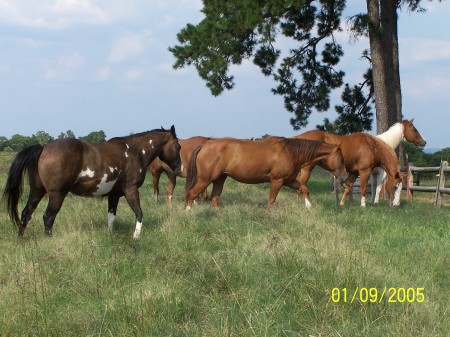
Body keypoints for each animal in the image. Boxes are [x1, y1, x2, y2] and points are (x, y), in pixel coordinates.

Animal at [2, 124, 181, 238]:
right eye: (178, 146)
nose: (179, 168)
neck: (135, 152)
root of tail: (44, 146)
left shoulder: (114, 195)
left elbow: (111, 217)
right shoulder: (131, 189)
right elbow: (139, 213)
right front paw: (136, 237)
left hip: (37, 191)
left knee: (26, 213)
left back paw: (21, 239)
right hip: (56, 194)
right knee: (48, 217)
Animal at [185, 136, 346, 209]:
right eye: (341, 158)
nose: (344, 178)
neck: (289, 152)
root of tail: (205, 145)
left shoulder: (288, 180)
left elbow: (304, 188)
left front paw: (308, 206)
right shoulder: (277, 180)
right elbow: (271, 200)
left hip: (220, 178)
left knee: (214, 199)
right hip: (205, 179)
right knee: (191, 194)